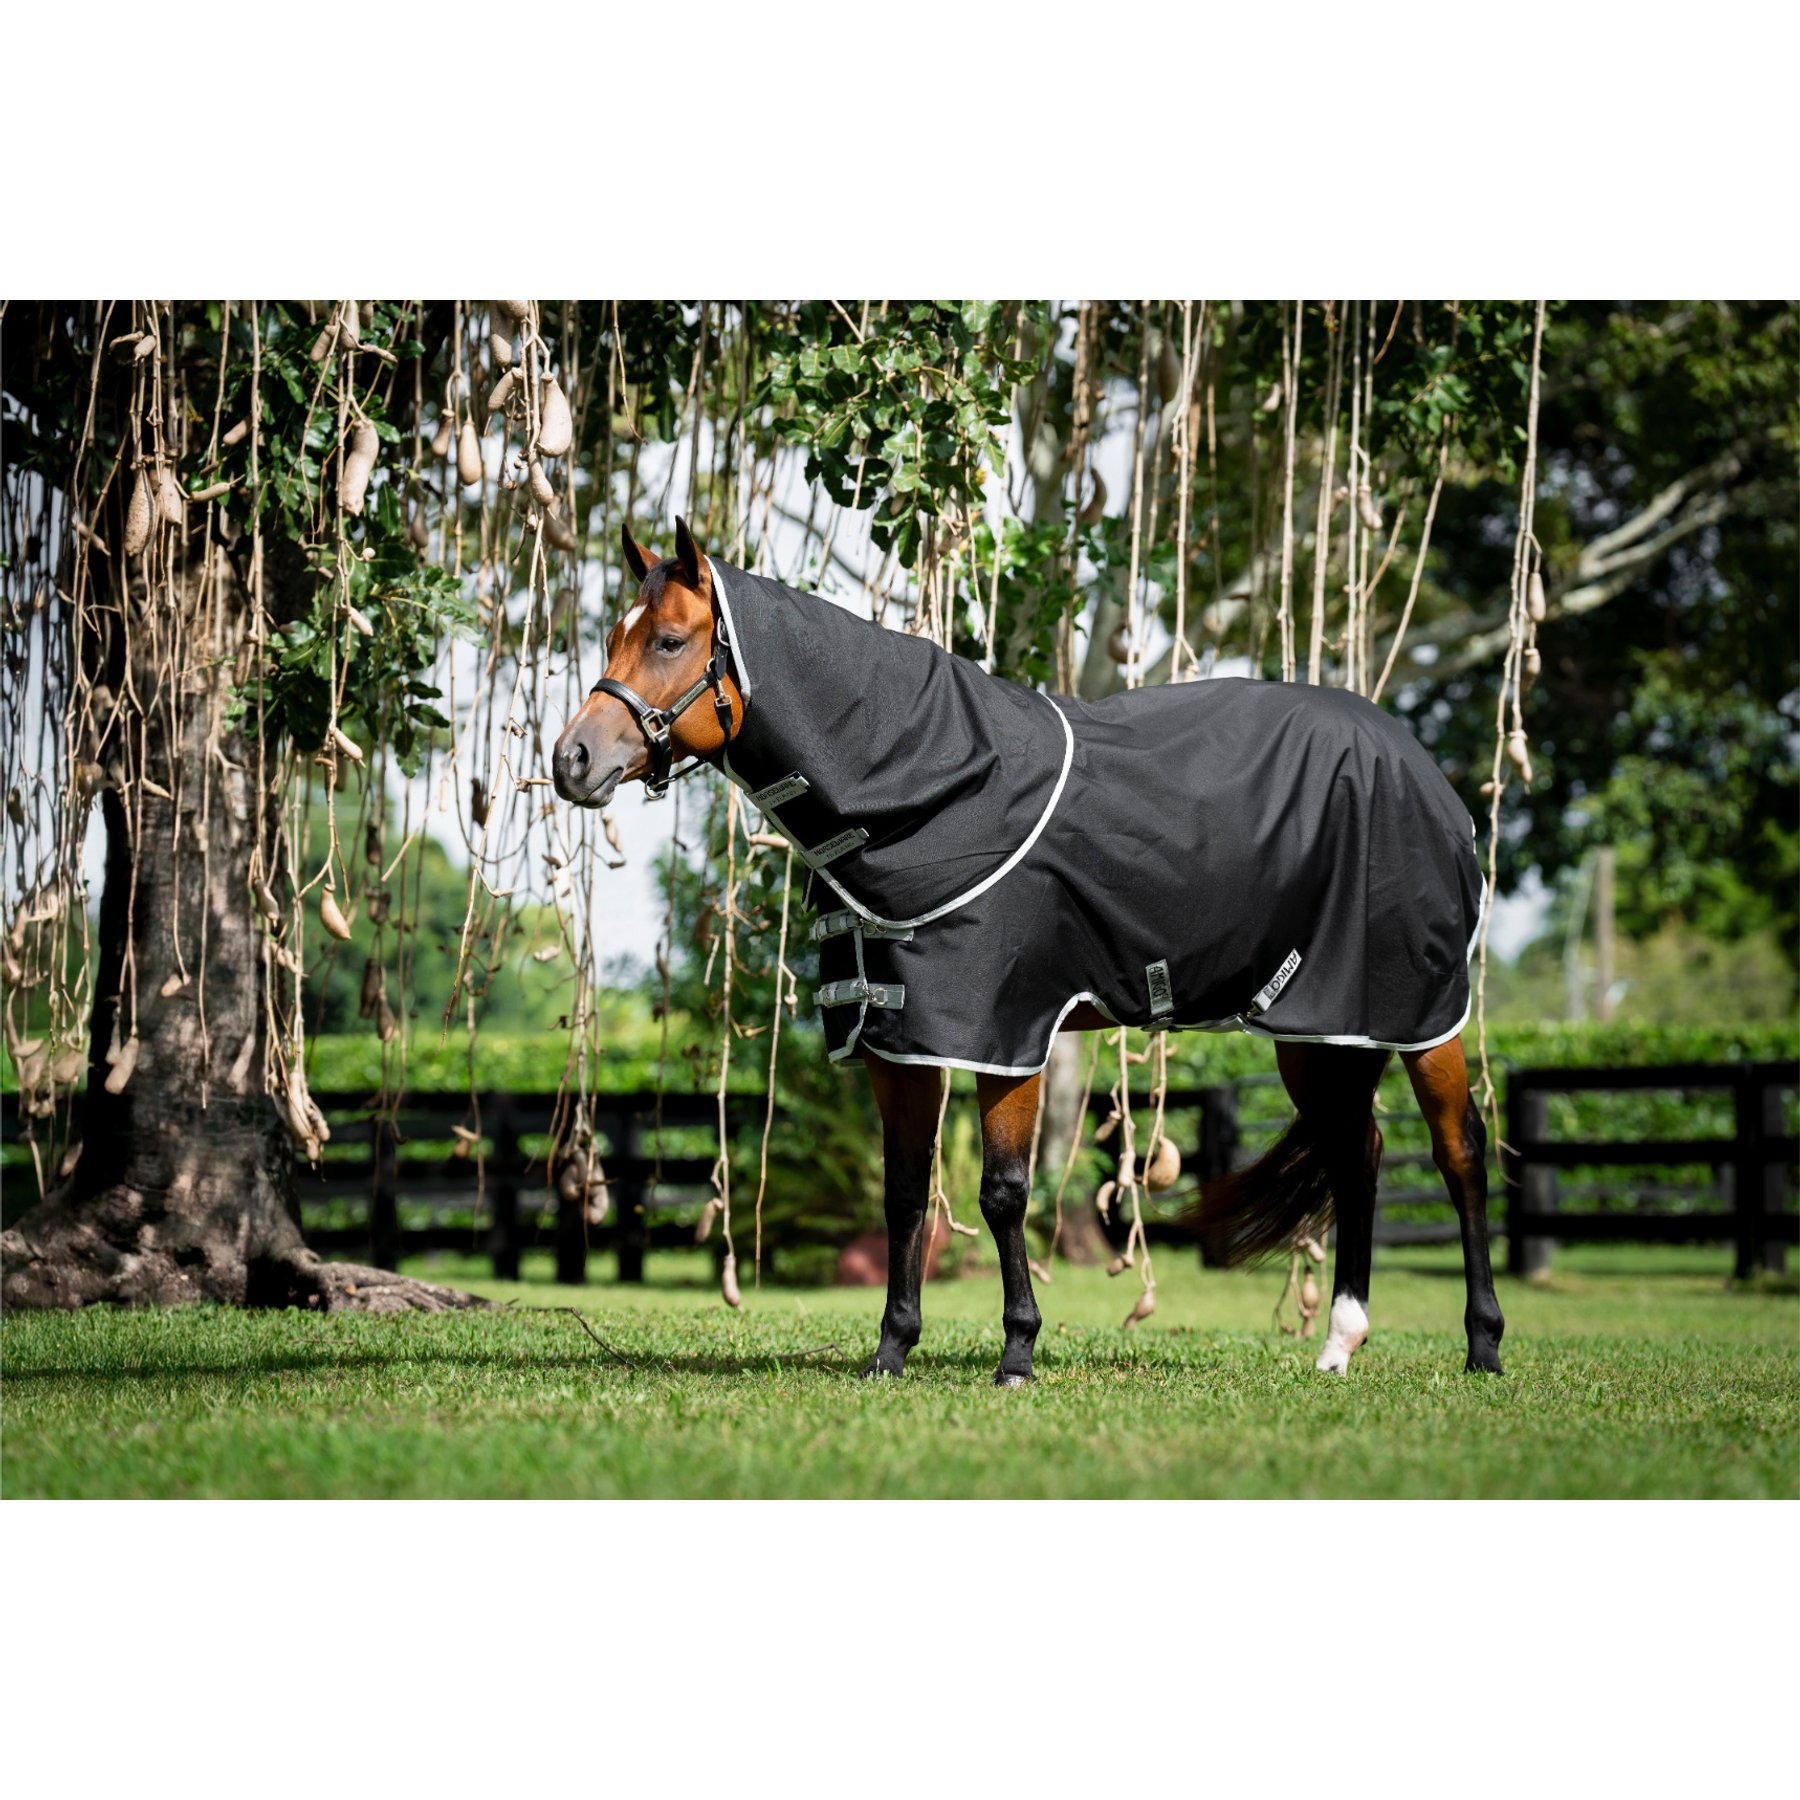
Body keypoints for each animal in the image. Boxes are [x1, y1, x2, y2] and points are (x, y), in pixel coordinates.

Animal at [553, 517, 1505, 1385]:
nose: (573, 759)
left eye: (670, 639)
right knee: (1357, 1155)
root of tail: (1418, 765)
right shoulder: (901, 1042)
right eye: (614, 637)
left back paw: (1483, 1345)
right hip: (1320, 1028)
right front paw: (892, 1350)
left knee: (1459, 1153)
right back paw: (1340, 1342)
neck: (932, 786)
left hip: (1421, 1016)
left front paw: (1017, 1352)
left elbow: (1003, 1192)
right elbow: (906, 1193)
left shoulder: (1005, 1035)